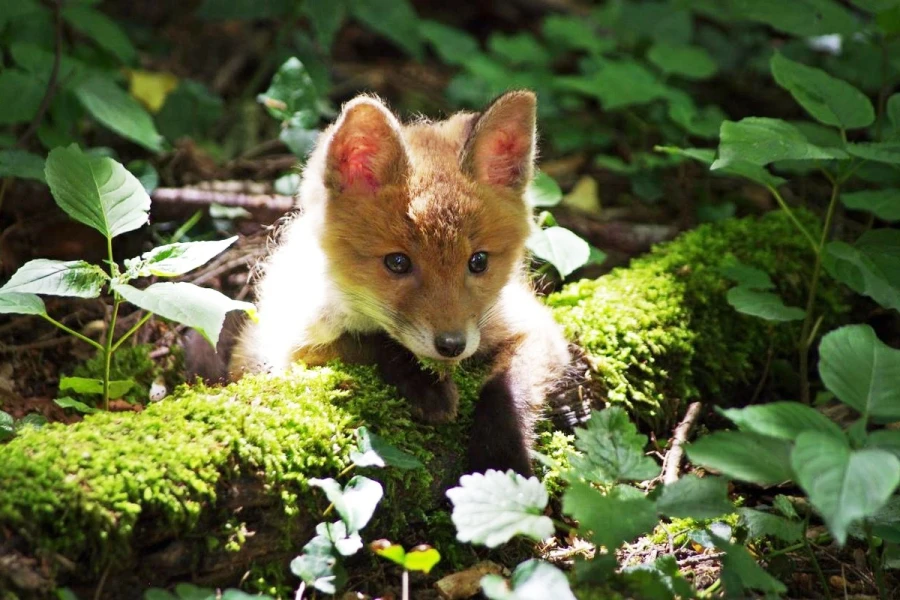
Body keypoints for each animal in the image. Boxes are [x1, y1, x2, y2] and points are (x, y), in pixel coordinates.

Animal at [227, 90, 571, 476]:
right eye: (398, 263)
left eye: (479, 261)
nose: (452, 345)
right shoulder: (294, 349)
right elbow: (367, 342)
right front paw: (424, 385)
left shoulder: (534, 327)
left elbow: (507, 389)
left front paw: (499, 462)